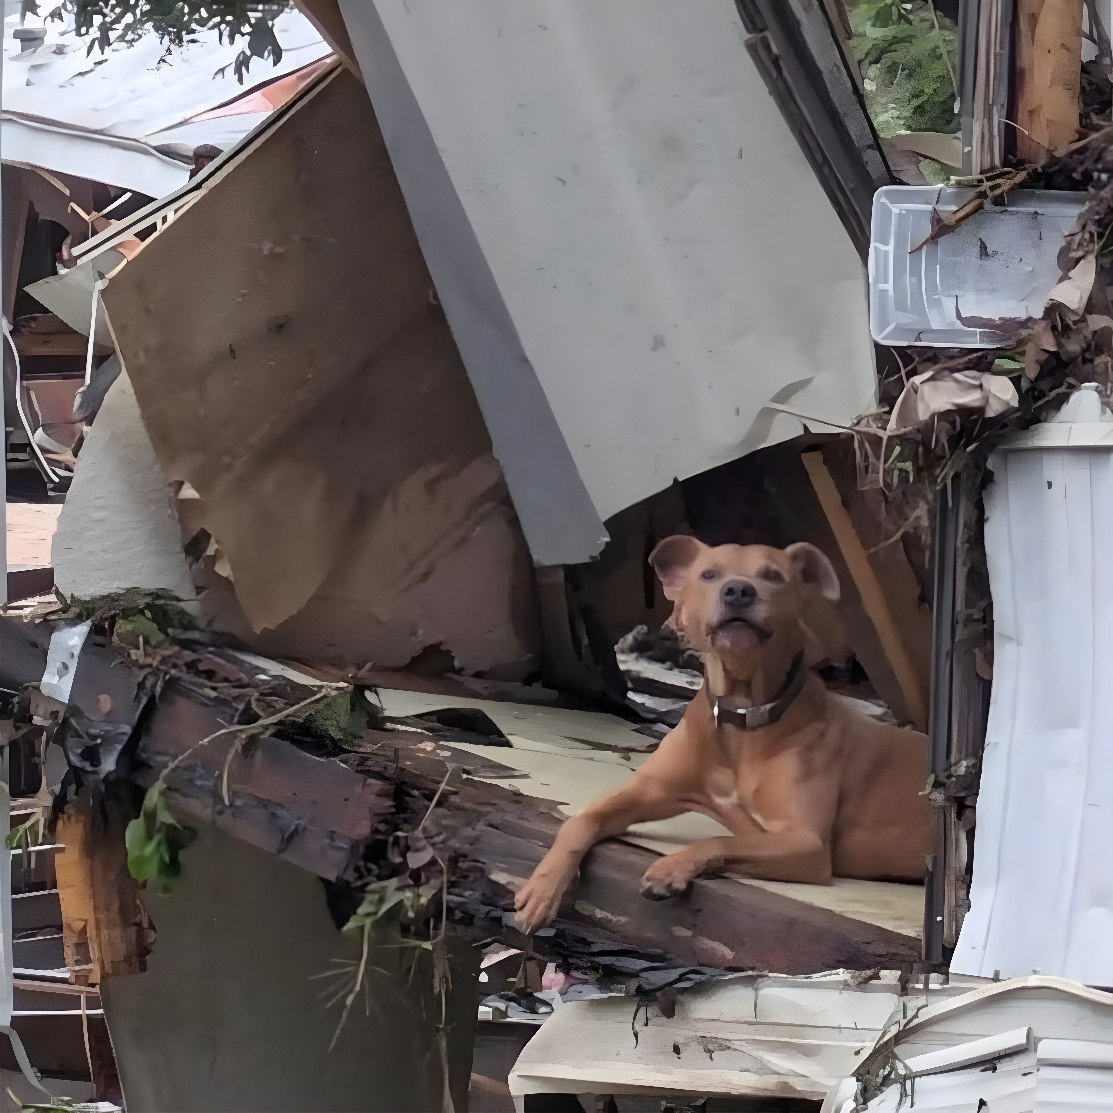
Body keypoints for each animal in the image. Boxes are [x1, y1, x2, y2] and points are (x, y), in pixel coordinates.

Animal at [513, 536, 932, 934]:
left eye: (774, 576)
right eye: (709, 575)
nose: (739, 591)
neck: (740, 714)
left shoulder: (804, 842)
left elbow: (720, 840)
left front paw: (669, 869)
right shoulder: (645, 793)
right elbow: (579, 821)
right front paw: (542, 889)